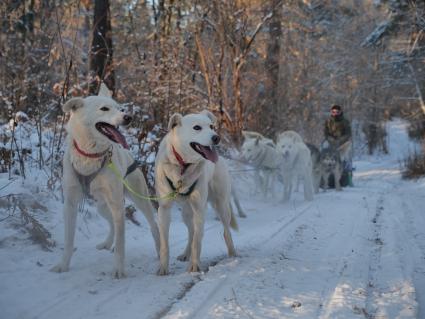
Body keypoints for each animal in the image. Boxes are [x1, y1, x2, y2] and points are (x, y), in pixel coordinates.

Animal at [50, 85, 160, 280]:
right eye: (104, 109)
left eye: (119, 108)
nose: (128, 117)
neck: (90, 155)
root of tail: (130, 155)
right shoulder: (70, 204)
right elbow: (69, 241)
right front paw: (63, 265)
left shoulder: (117, 204)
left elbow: (122, 243)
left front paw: (118, 270)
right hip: (102, 206)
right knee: (112, 224)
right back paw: (108, 243)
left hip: (138, 200)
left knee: (153, 226)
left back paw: (160, 250)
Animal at [154, 110, 237, 276]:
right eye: (197, 127)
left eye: (211, 126)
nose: (216, 137)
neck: (183, 165)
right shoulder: (164, 209)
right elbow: (165, 244)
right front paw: (163, 268)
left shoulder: (199, 209)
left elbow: (197, 241)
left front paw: (194, 266)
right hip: (186, 213)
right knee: (191, 231)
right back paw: (186, 254)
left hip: (221, 206)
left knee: (225, 232)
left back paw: (232, 254)